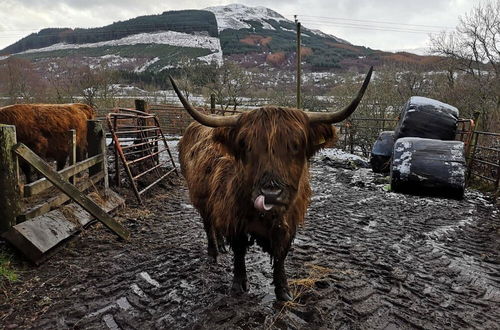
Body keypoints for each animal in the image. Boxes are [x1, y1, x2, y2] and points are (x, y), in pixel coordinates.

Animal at [172, 67, 372, 302]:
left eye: (296, 144)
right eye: (245, 144)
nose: (271, 194)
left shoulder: (288, 222)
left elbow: (280, 255)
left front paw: (283, 291)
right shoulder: (233, 217)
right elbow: (239, 252)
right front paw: (238, 285)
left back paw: (220, 246)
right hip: (200, 198)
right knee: (208, 224)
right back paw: (213, 253)